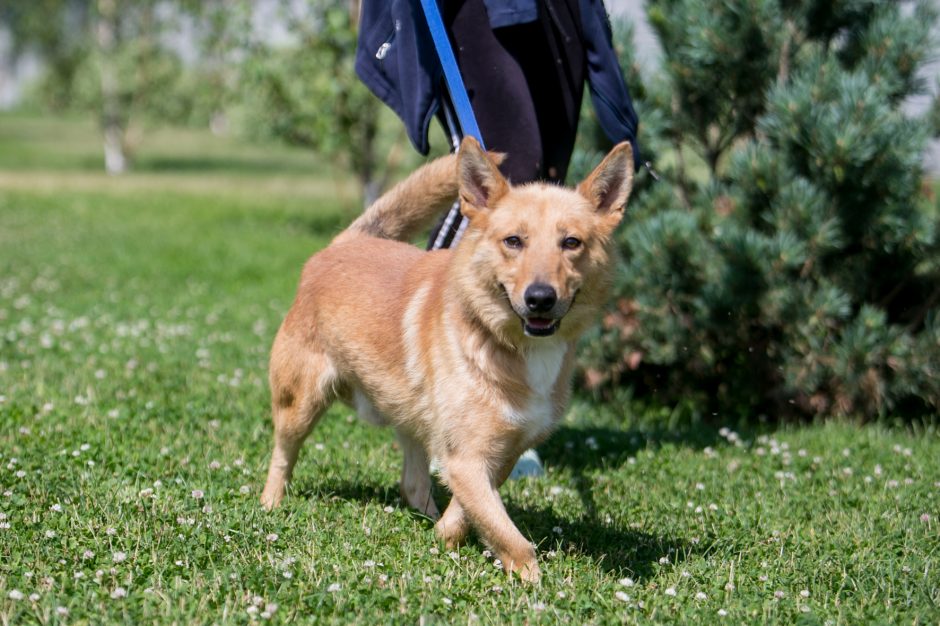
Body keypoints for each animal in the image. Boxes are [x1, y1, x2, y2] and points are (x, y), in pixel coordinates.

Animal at [260, 136, 636, 580]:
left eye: (571, 242)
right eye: (513, 241)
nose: (540, 298)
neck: (506, 343)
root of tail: (344, 243)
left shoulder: (497, 453)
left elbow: (473, 510)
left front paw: (444, 536)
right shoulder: (466, 458)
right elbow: (511, 537)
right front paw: (531, 580)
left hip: (410, 411)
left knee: (413, 480)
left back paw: (423, 514)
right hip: (299, 403)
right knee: (282, 456)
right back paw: (270, 504)